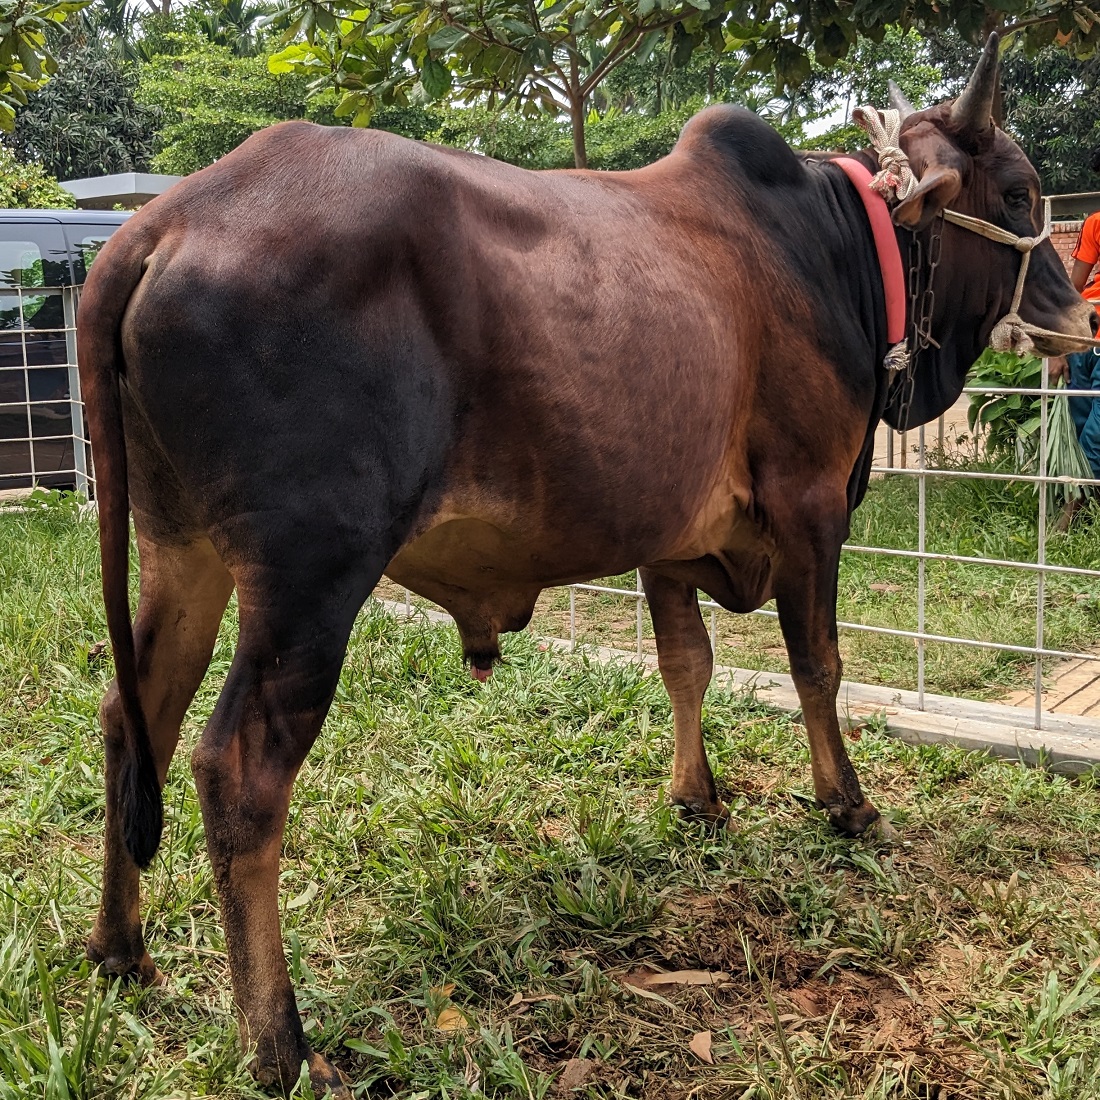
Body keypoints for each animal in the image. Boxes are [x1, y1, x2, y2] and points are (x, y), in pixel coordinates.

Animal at [77, 32, 1091, 1091]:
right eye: (1019, 193)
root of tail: (164, 221)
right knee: (237, 771)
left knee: (133, 716)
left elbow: (687, 664)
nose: (1075, 317)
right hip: (308, 582)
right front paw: (846, 805)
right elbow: (819, 664)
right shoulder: (811, 504)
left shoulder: (672, 537)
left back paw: (121, 948)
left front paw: (698, 800)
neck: (838, 248)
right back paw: (278, 1042)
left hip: (179, 551)